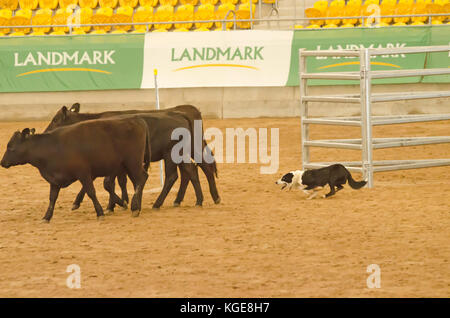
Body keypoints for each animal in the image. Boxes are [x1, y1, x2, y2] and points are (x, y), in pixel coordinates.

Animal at [0, 115, 151, 222]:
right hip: (127, 166)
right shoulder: (54, 180)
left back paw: (135, 207)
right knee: (138, 181)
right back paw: (136, 206)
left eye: (11, 147)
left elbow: (91, 192)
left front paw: (100, 213)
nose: (2, 162)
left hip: (133, 162)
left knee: (142, 178)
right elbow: (52, 198)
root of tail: (136, 119)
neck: (53, 147)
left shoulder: (83, 173)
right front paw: (46, 217)